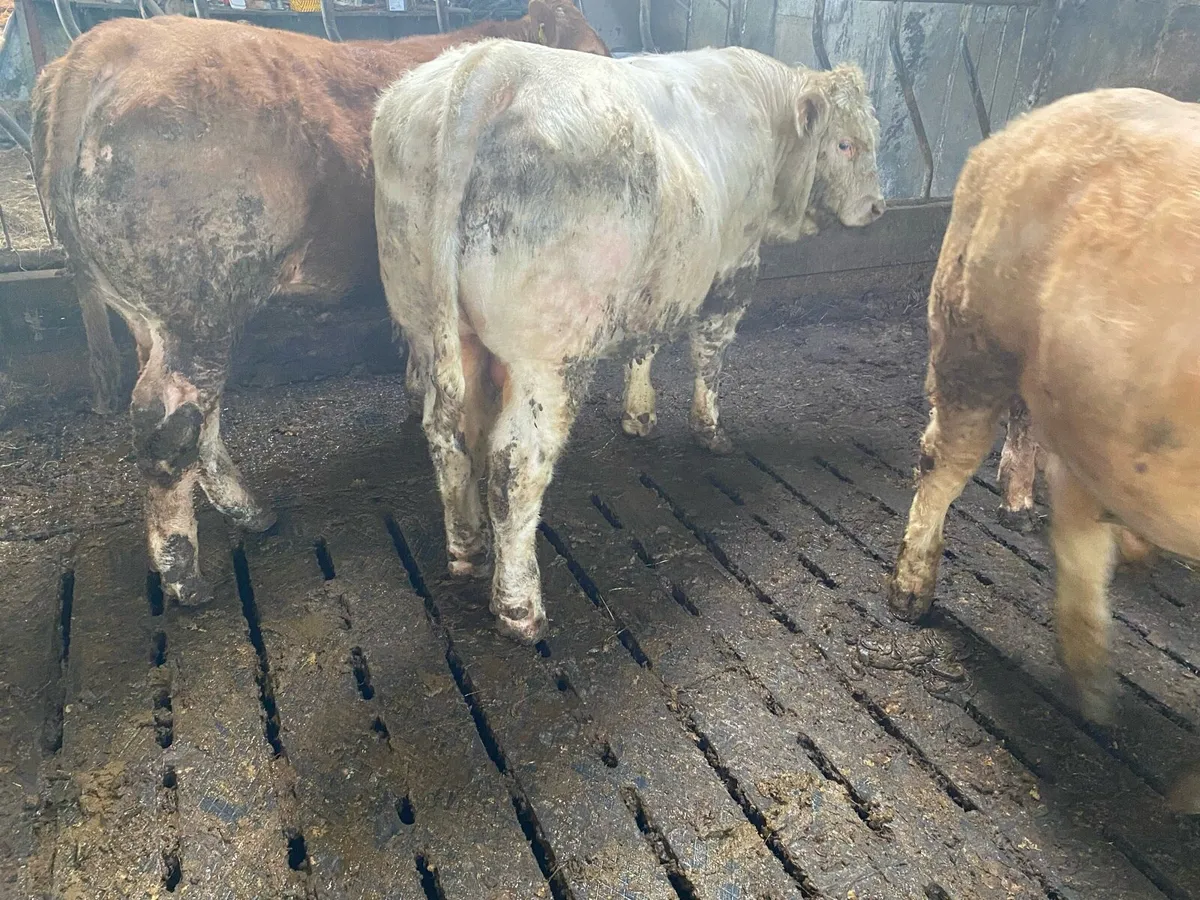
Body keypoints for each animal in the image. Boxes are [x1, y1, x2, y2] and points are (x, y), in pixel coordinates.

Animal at [31, 5, 610, 606]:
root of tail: (107, 43)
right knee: (169, 423)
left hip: (155, 319)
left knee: (199, 416)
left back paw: (251, 513)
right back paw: (184, 576)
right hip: (196, 308)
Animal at [372, 40, 885, 642]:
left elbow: (645, 345)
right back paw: (520, 608)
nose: (877, 207)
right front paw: (709, 430)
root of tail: (490, 64)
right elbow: (709, 351)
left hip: (433, 328)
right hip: (549, 358)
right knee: (515, 467)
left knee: (449, 440)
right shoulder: (735, 264)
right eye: (846, 143)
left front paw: (638, 416)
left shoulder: (658, 282)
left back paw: (466, 547)